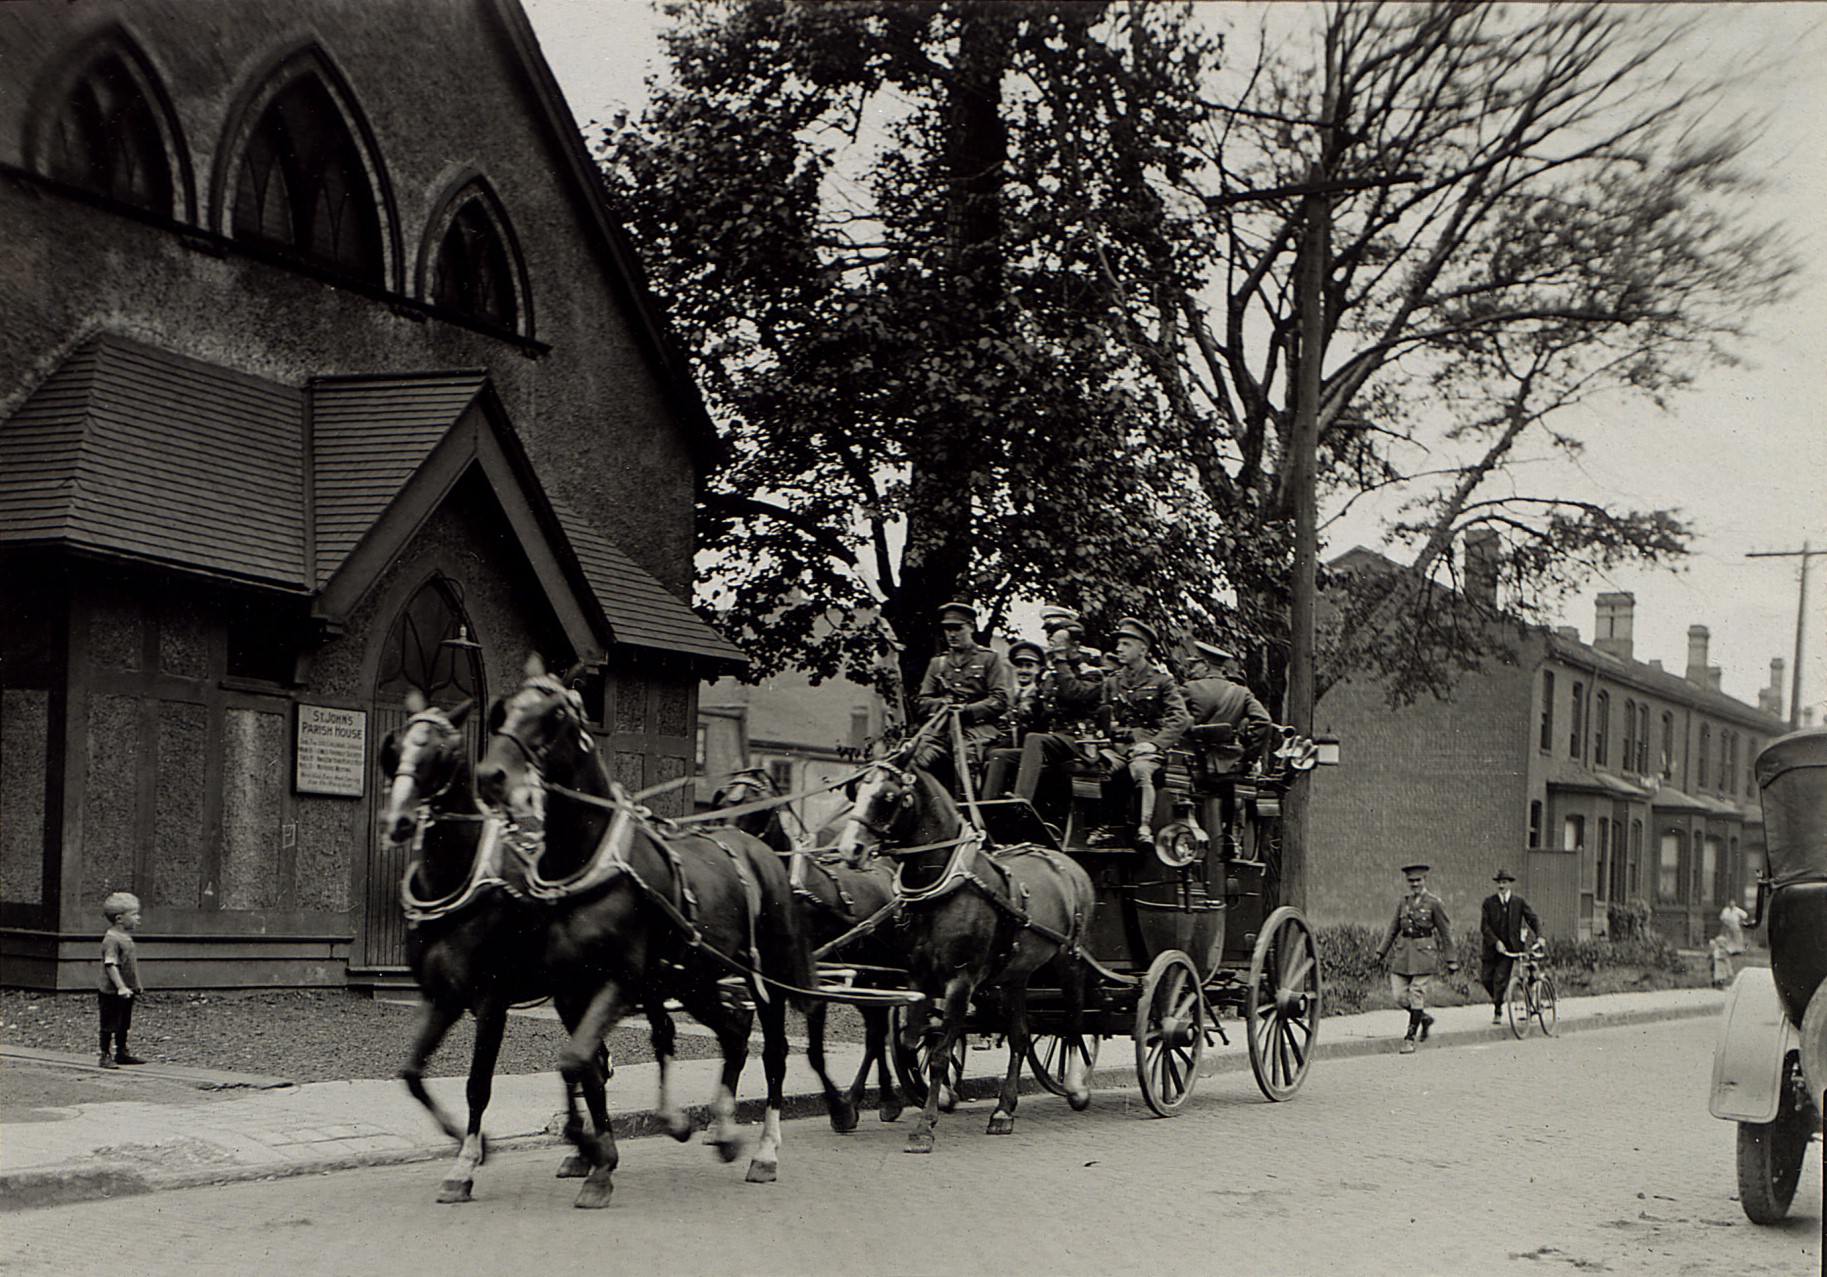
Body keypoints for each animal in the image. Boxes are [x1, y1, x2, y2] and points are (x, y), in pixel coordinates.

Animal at [475, 664, 851, 1205]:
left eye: (555, 715)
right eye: (503, 712)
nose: (491, 776)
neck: (591, 862)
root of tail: (758, 851)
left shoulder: (622, 980)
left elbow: (581, 1059)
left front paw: (597, 1154)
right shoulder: (571, 990)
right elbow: (584, 1064)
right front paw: (593, 1154)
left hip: (764, 978)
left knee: (775, 1052)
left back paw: (765, 1151)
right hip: (695, 979)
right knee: (733, 1033)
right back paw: (721, 1130)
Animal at [836, 745, 1088, 1154]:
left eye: (888, 797)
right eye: (857, 790)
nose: (850, 849)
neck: (943, 888)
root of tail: (1065, 862)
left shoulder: (960, 981)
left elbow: (940, 1053)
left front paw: (923, 1127)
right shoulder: (918, 977)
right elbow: (910, 1040)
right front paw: (930, 1098)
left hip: (1071, 963)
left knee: (1074, 1022)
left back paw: (1077, 1085)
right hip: (1017, 976)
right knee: (1020, 1036)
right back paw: (1003, 1111)